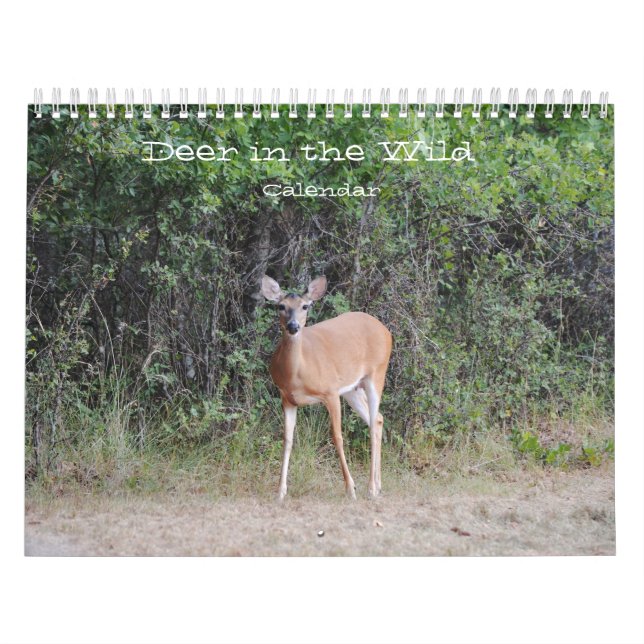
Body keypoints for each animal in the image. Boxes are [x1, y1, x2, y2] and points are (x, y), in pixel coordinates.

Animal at [260, 275, 393, 501]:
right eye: (281, 306)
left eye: (305, 306)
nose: (293, 326)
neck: (297, 374)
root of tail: (385, 330)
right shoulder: (287, 398)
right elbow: (287, 440)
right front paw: (280, 492)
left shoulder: (330, 392)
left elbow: (337, 437)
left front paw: (350, 489)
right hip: (352, 389)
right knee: (378, 419)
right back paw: (378, 486)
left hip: (377, 372)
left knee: (374, 421)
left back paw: (370, 489)